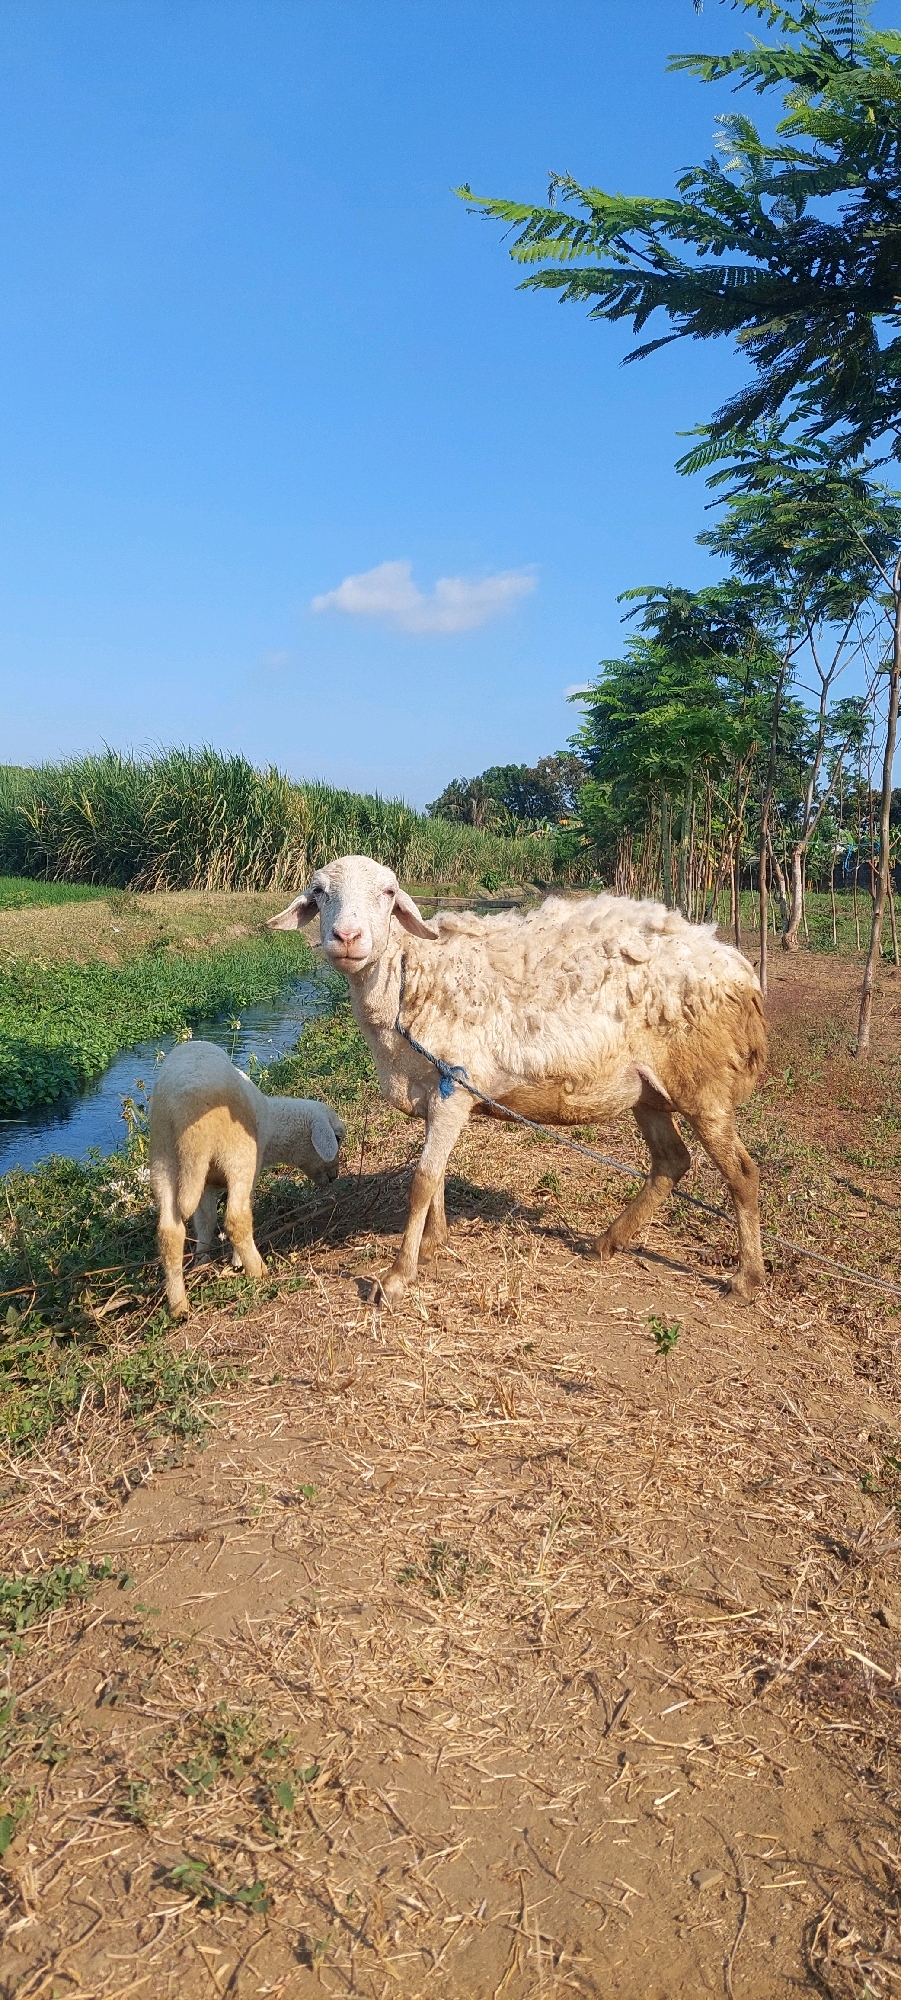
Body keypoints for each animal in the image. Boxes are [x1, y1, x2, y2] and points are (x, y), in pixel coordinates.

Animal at [149, 1039, 345, 1317]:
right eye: (337, 1138)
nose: (334, 1176)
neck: (274, 1126)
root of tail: (185, 1106)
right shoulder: (251, 1170)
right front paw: (236, 1262)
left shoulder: (206, 1184)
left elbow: (205, 1222)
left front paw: (202, 1262)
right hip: (238, 1155)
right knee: (236, 1218)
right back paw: (258, 1271)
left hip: (164, 1158)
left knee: (169, 1233)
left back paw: (178, 1306)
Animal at [268, 855, 768, 1308]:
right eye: (319, 893)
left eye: (389, 893)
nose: (347, 938)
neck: (407, 977)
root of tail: (740, 970)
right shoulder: (435, 1093)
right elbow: (438, 1175)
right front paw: (433, 1244)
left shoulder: (454, 1086)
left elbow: (423, 1180)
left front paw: (397, 1277)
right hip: (647, 1090)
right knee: (671, 1160)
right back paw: (606, 1243)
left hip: (703, 1083)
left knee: (742, 1173)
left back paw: (745, 1280)